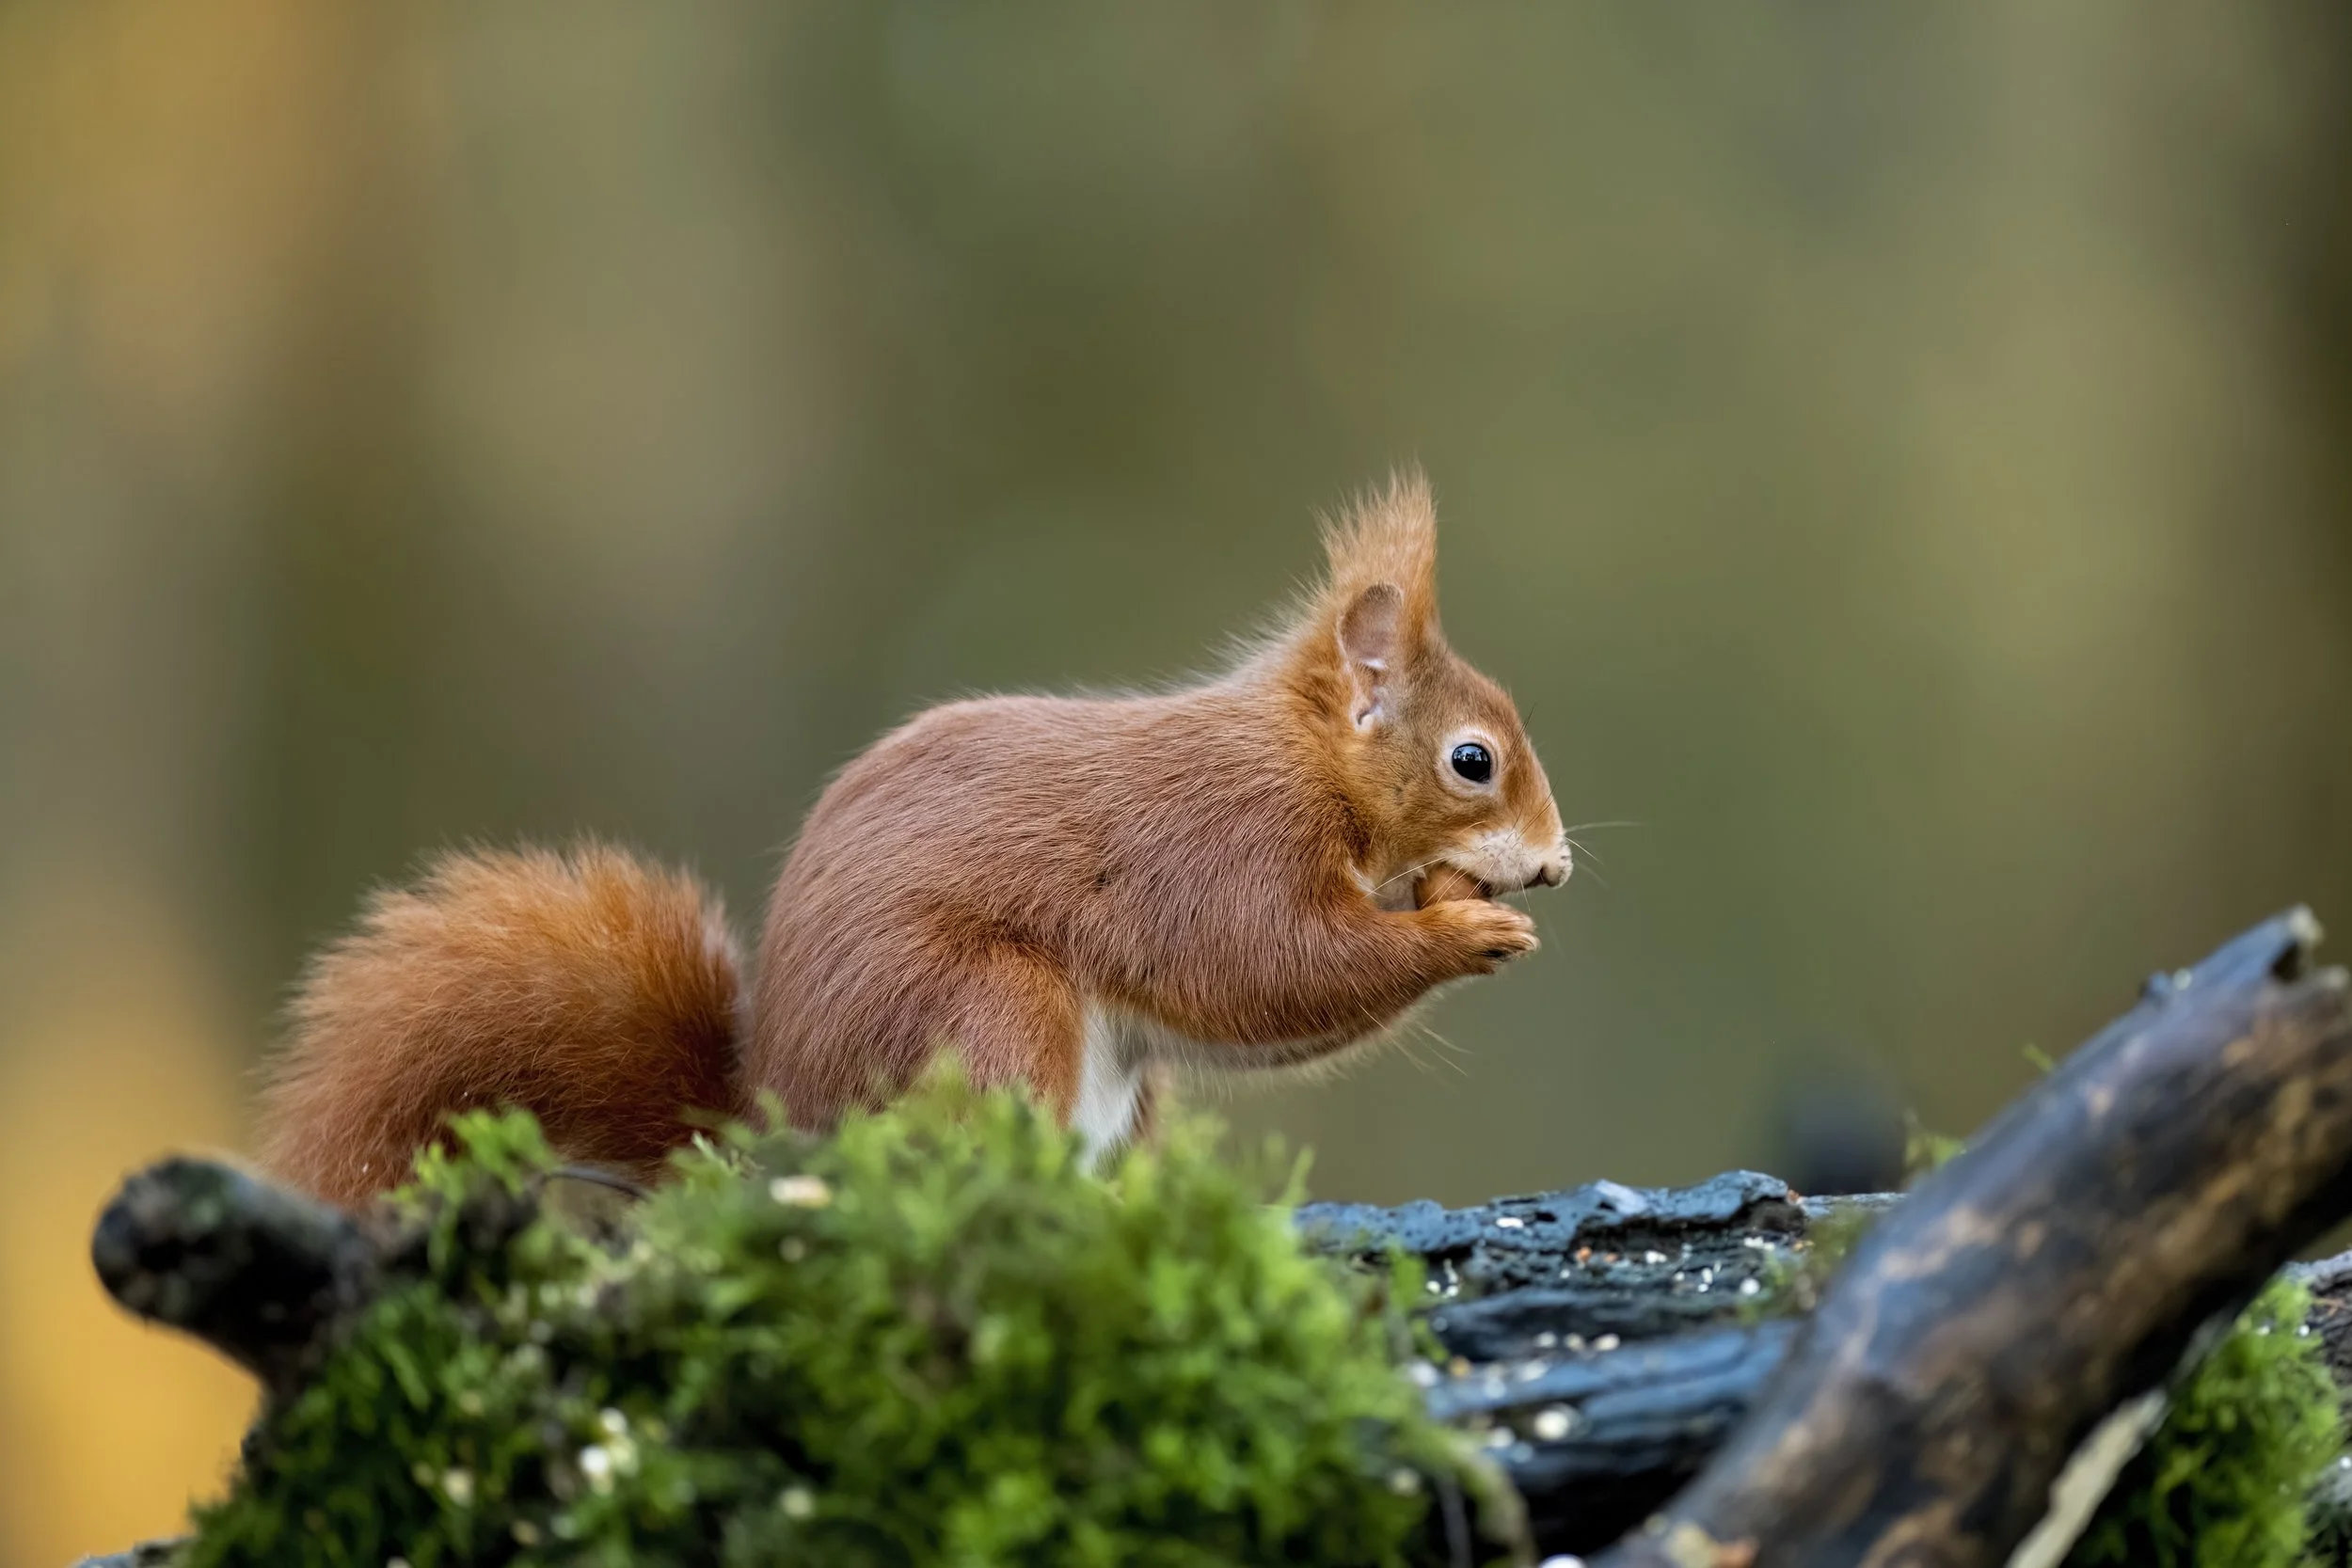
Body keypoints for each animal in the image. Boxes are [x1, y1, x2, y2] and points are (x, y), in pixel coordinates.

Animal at [256, 473, 1571, 1205]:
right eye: (1472, 759)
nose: (1556, 862)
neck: (1304, 758)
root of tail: (784, 1118)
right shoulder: (1221, 846)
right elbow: (1273, 966)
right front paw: (1462, 930)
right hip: (986, 1014)